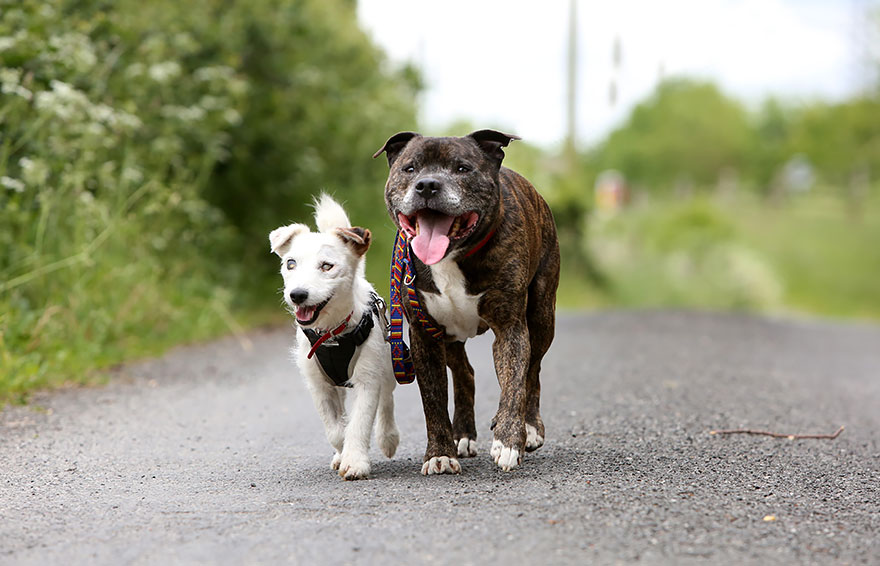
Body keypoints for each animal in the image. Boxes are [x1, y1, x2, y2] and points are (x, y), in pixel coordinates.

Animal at [270, 195, 400, 480]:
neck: (331, 334)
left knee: (387, 399)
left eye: (327, 266)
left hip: (387, 365)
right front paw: (343, 453)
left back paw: (388, 437)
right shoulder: (320, 385)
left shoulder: (367, 379)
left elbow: (359, 422)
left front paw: (355, 462)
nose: (297, 294)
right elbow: (336, 429)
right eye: (290, 263)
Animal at [374, 130, 560, 474]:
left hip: (542, 314)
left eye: (462, 168)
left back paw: (529, 427)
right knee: (465, 374)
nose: (427, 185)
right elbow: (433, 400)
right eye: (410, 168)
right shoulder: (424, 335)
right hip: (448, 336)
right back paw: (462, 434)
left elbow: (515, 383)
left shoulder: (511, 328)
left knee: (533, 370)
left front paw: (508, 441)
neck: (452, 256)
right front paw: (440, 453)